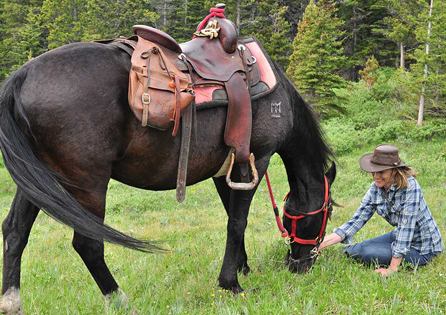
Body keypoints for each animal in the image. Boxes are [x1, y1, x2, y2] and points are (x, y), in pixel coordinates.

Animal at [0, 36, 334, 314]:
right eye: (327, 213)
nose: (301, 265)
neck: (277, 99)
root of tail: (23, 75)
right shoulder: (255, 160)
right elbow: (238, 223)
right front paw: (232, 284)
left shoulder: (225, 172)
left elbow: (232, 219)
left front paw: (242, 268)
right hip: (89, 184)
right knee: (88, 244)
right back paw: (121, 300)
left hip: (38, 179)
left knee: (15, 231)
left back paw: (11, 302)